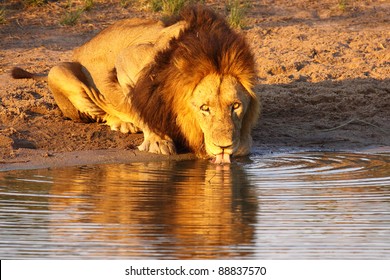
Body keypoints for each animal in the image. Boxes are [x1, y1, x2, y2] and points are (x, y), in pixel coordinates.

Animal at [12, 4, 260, 164]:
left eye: (235, 106)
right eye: (204, 108)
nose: (224, 146)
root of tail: (80, 47)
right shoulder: (127, 59)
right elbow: (140, 103)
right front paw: (157, 141)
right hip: (58, 71)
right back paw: (125, 124)